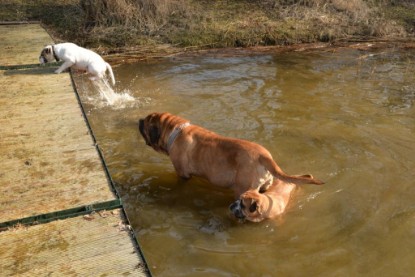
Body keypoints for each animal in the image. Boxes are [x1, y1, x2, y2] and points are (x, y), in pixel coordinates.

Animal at [138, 111, 324, 197]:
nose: (139, 120)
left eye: (146, 122)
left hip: (244, 187)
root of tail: (264, 156)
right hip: (265, 184)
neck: (174, 130)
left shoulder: (182, 174)